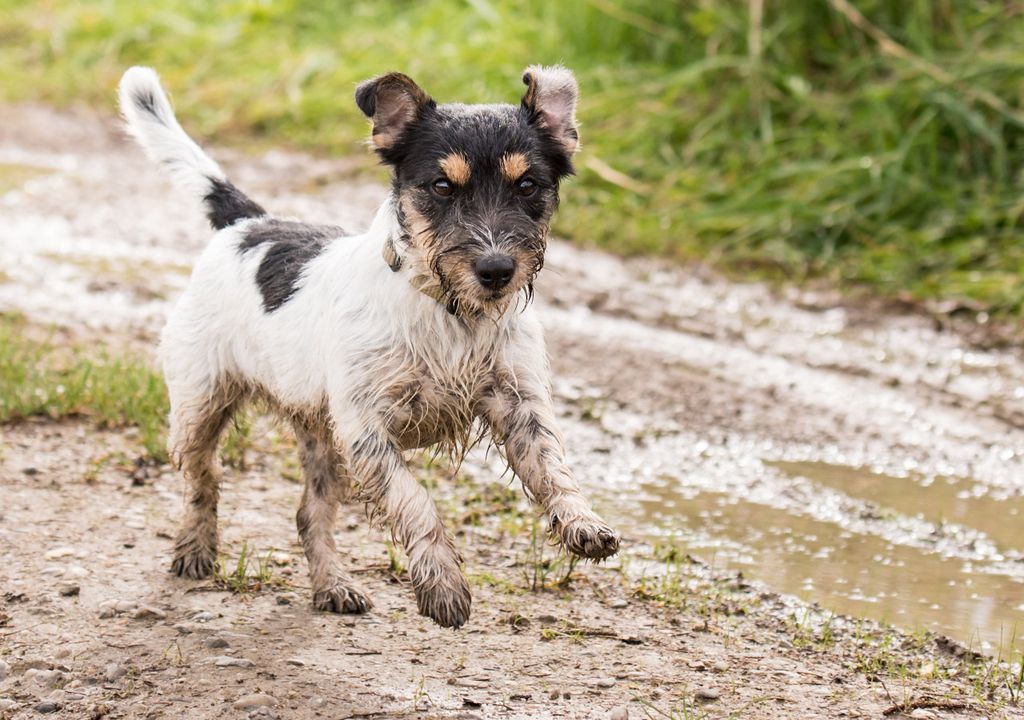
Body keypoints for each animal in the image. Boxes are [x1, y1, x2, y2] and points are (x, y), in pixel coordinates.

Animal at [117, 67, 618, 630]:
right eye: (441, 186)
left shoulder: (519, 405)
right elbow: (414, 501)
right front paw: (443, 584)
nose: (496, 271)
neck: (448, 311)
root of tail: (247, 224)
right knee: (204, 480)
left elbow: (552, 468)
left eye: (528, 185)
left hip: (321, 434)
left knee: (309, 514)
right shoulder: (367, 431)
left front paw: (582, 522)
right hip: (200, 406)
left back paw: (333, 584)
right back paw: (196, 548)